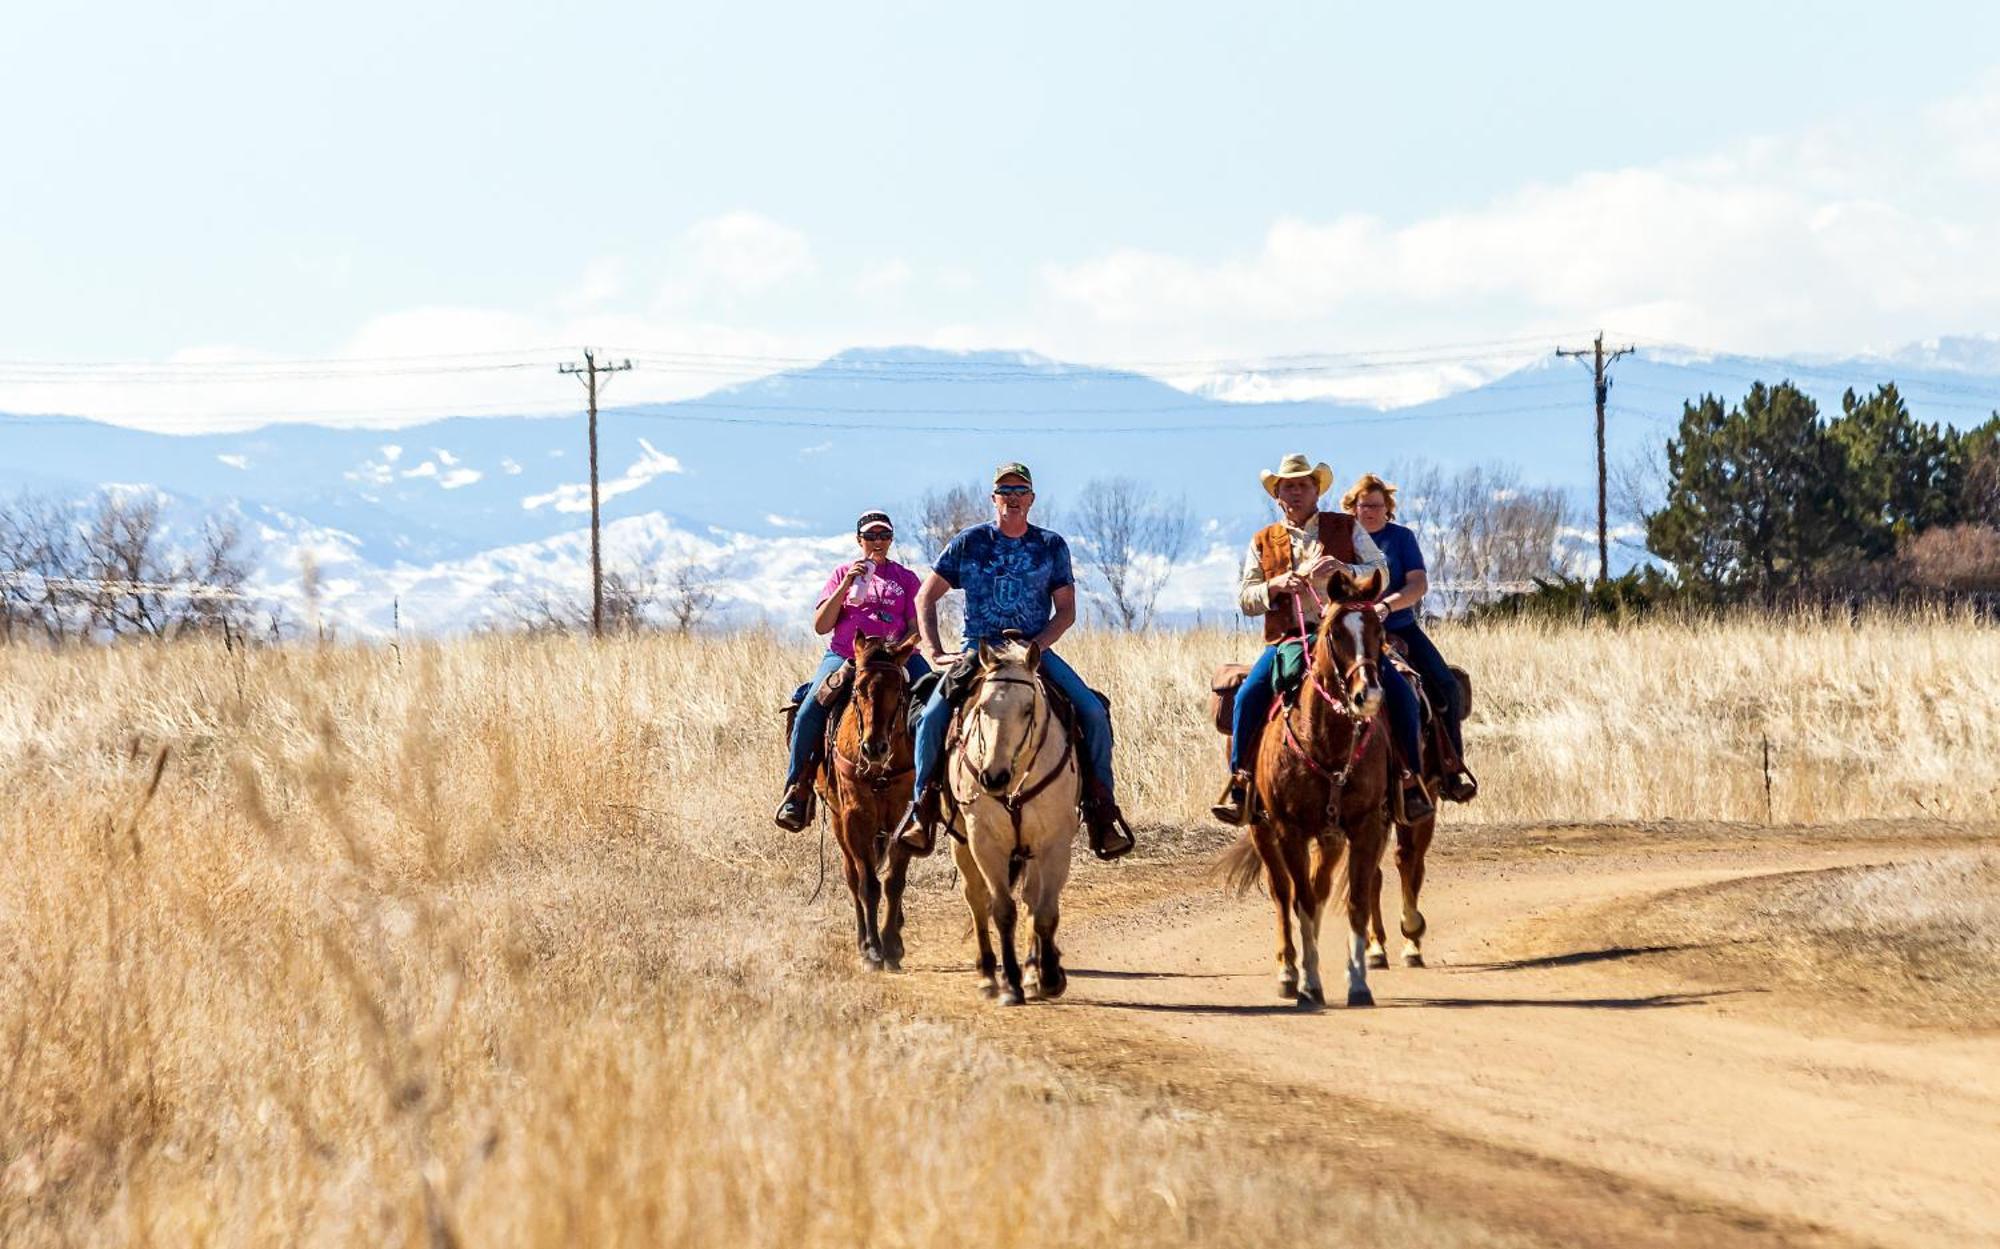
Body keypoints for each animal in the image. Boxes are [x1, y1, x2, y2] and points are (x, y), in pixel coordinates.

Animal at [812, 632, 920, 964]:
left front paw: (892, 944)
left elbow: (894, 882)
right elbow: (868, 884)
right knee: (852, 876)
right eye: (859, 688)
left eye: (898, 689)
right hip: (838, 822)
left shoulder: (903, 816)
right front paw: (873, 948)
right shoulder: (855, 818)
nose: (874, 748)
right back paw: (863, 938)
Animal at [948, 640, 1080, 1008]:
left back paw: (1034, 972)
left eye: (1028, 709)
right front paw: (1009, 984)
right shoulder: (984, 842)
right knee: (976, 899)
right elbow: (1002, 910)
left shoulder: (1055, 843)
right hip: (961, 843)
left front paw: (1049, 977)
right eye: (982, 707)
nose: (993, 776)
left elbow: (1045, 911)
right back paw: (987, 977)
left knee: (1032, 900)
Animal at [1216, 564, 1392, 1004]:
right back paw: (1288, 971)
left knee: (1320, 886)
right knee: (1285, 894)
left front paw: (1358, 981)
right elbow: (1302, 902)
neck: (1326, 741)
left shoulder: (1365, 827)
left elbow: (1355, 901)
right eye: (1335, 633)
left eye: (1378, 630)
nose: (1368, 695)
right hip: (1262, 830)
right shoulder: (1289, 830)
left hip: (1330, 839)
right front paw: (1310, 982)